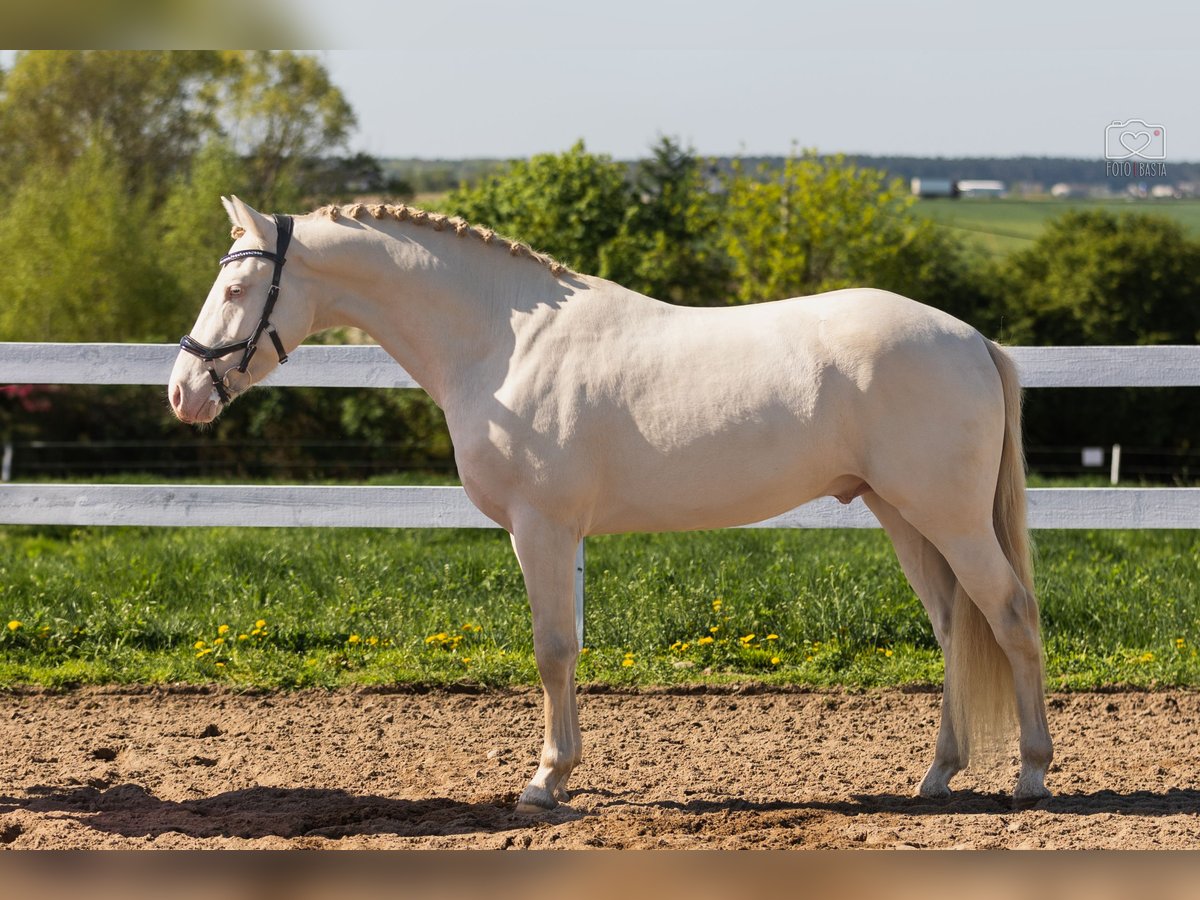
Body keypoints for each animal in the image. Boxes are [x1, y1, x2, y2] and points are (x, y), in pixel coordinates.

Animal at [169, 199, 1051, 816]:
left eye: (238, 286)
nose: (182, 393)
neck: (504, 345)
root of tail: (973, 339)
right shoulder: (547, 534)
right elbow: (564, 648)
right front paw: (560, 773)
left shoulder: (543, 529)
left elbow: (553, 648)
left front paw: (545, 781)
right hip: (904, 515)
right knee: (955, 626)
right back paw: (937, 774)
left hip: (949, 518)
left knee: (1010, 614)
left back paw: (1032, 774)